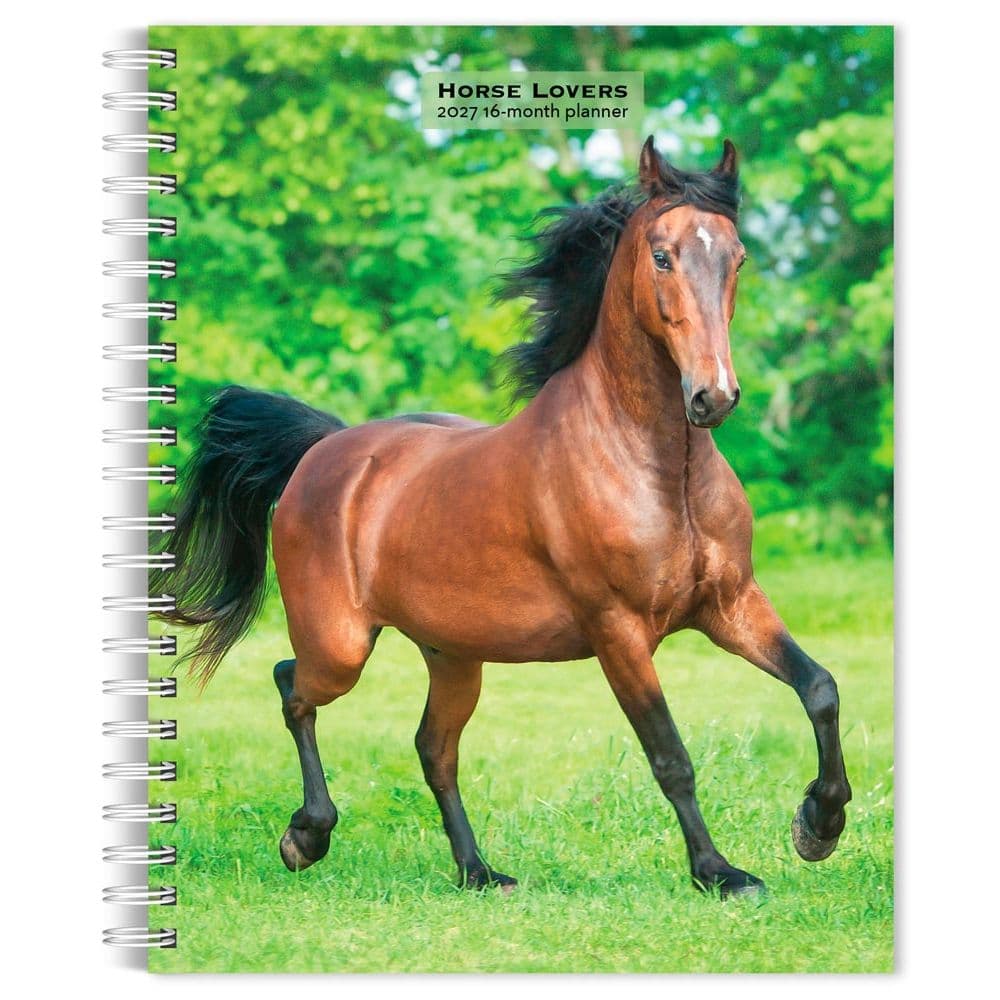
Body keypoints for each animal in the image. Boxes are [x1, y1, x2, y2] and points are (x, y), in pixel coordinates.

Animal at [157, 137, 851, 898]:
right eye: (663, 255)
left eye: (738, 257)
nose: (713, 396)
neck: (664, 473)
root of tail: (324, 450)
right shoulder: (618, 631)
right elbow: (670, 755)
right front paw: (719, 873)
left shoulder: (730, 604)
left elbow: (819, 687)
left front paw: (819, 826)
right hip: (340, 645)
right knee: (293, 686)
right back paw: (306, 836)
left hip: (453, 655)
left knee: (433, 747)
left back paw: (477, 871)